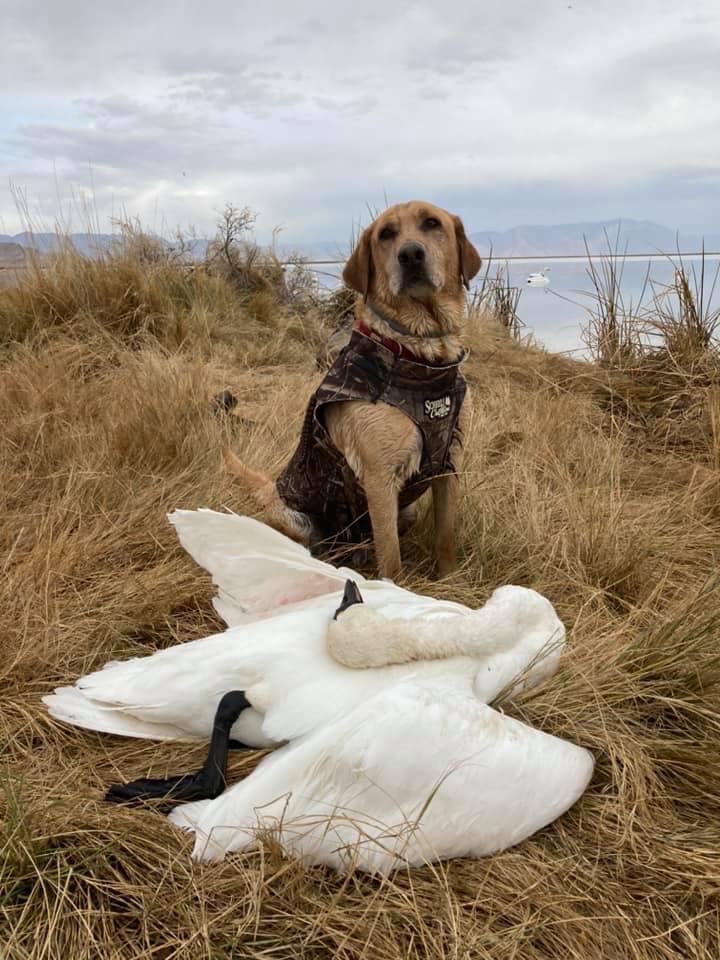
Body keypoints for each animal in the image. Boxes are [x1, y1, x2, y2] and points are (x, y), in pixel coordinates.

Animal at [224, 199, 484, 580]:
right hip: (294, 517)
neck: (420, 355)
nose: (410, 255)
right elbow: (391, 559)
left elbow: (445, 537)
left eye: (432, 223)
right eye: (386, 234)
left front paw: (450, 580)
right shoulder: (379, 479)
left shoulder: (448, 463)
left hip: (405, 510)